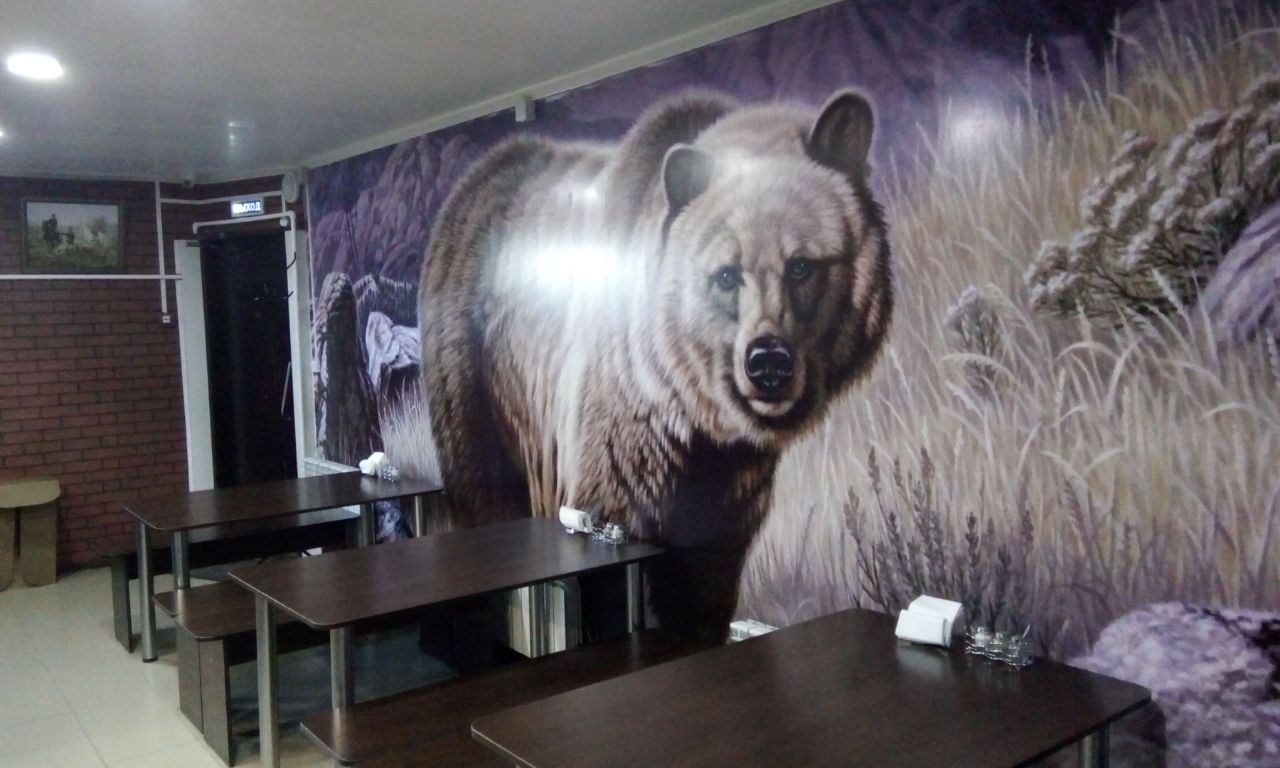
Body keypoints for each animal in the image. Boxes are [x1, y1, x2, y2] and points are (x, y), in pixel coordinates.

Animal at [419, 89, 893, 641]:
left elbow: (704, 579)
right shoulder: (619, 435)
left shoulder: (728, 488)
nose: (767, 361)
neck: (693, 414)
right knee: (482, 491)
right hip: (474, 377)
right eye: (727, 274)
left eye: (802, 265)